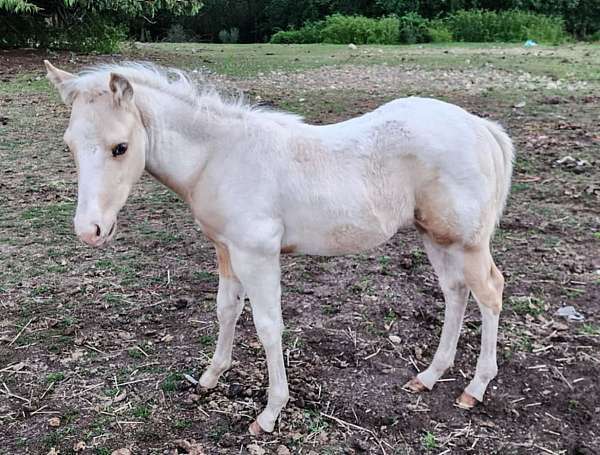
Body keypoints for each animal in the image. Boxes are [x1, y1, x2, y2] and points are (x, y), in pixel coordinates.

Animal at [45, 60, 516, 434]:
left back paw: (474, 387)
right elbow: (226, 310)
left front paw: (270, 413)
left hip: (467, 242)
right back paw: (430, 375)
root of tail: (480, 127)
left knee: (490, 292)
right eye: (68, 145)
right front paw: (210, 377)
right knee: (455, 292)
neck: (218, 157)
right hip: (435, 235)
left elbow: (269, 327)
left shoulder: (257, 255)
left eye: (120, 147)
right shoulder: (225, 250)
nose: (90, 230)